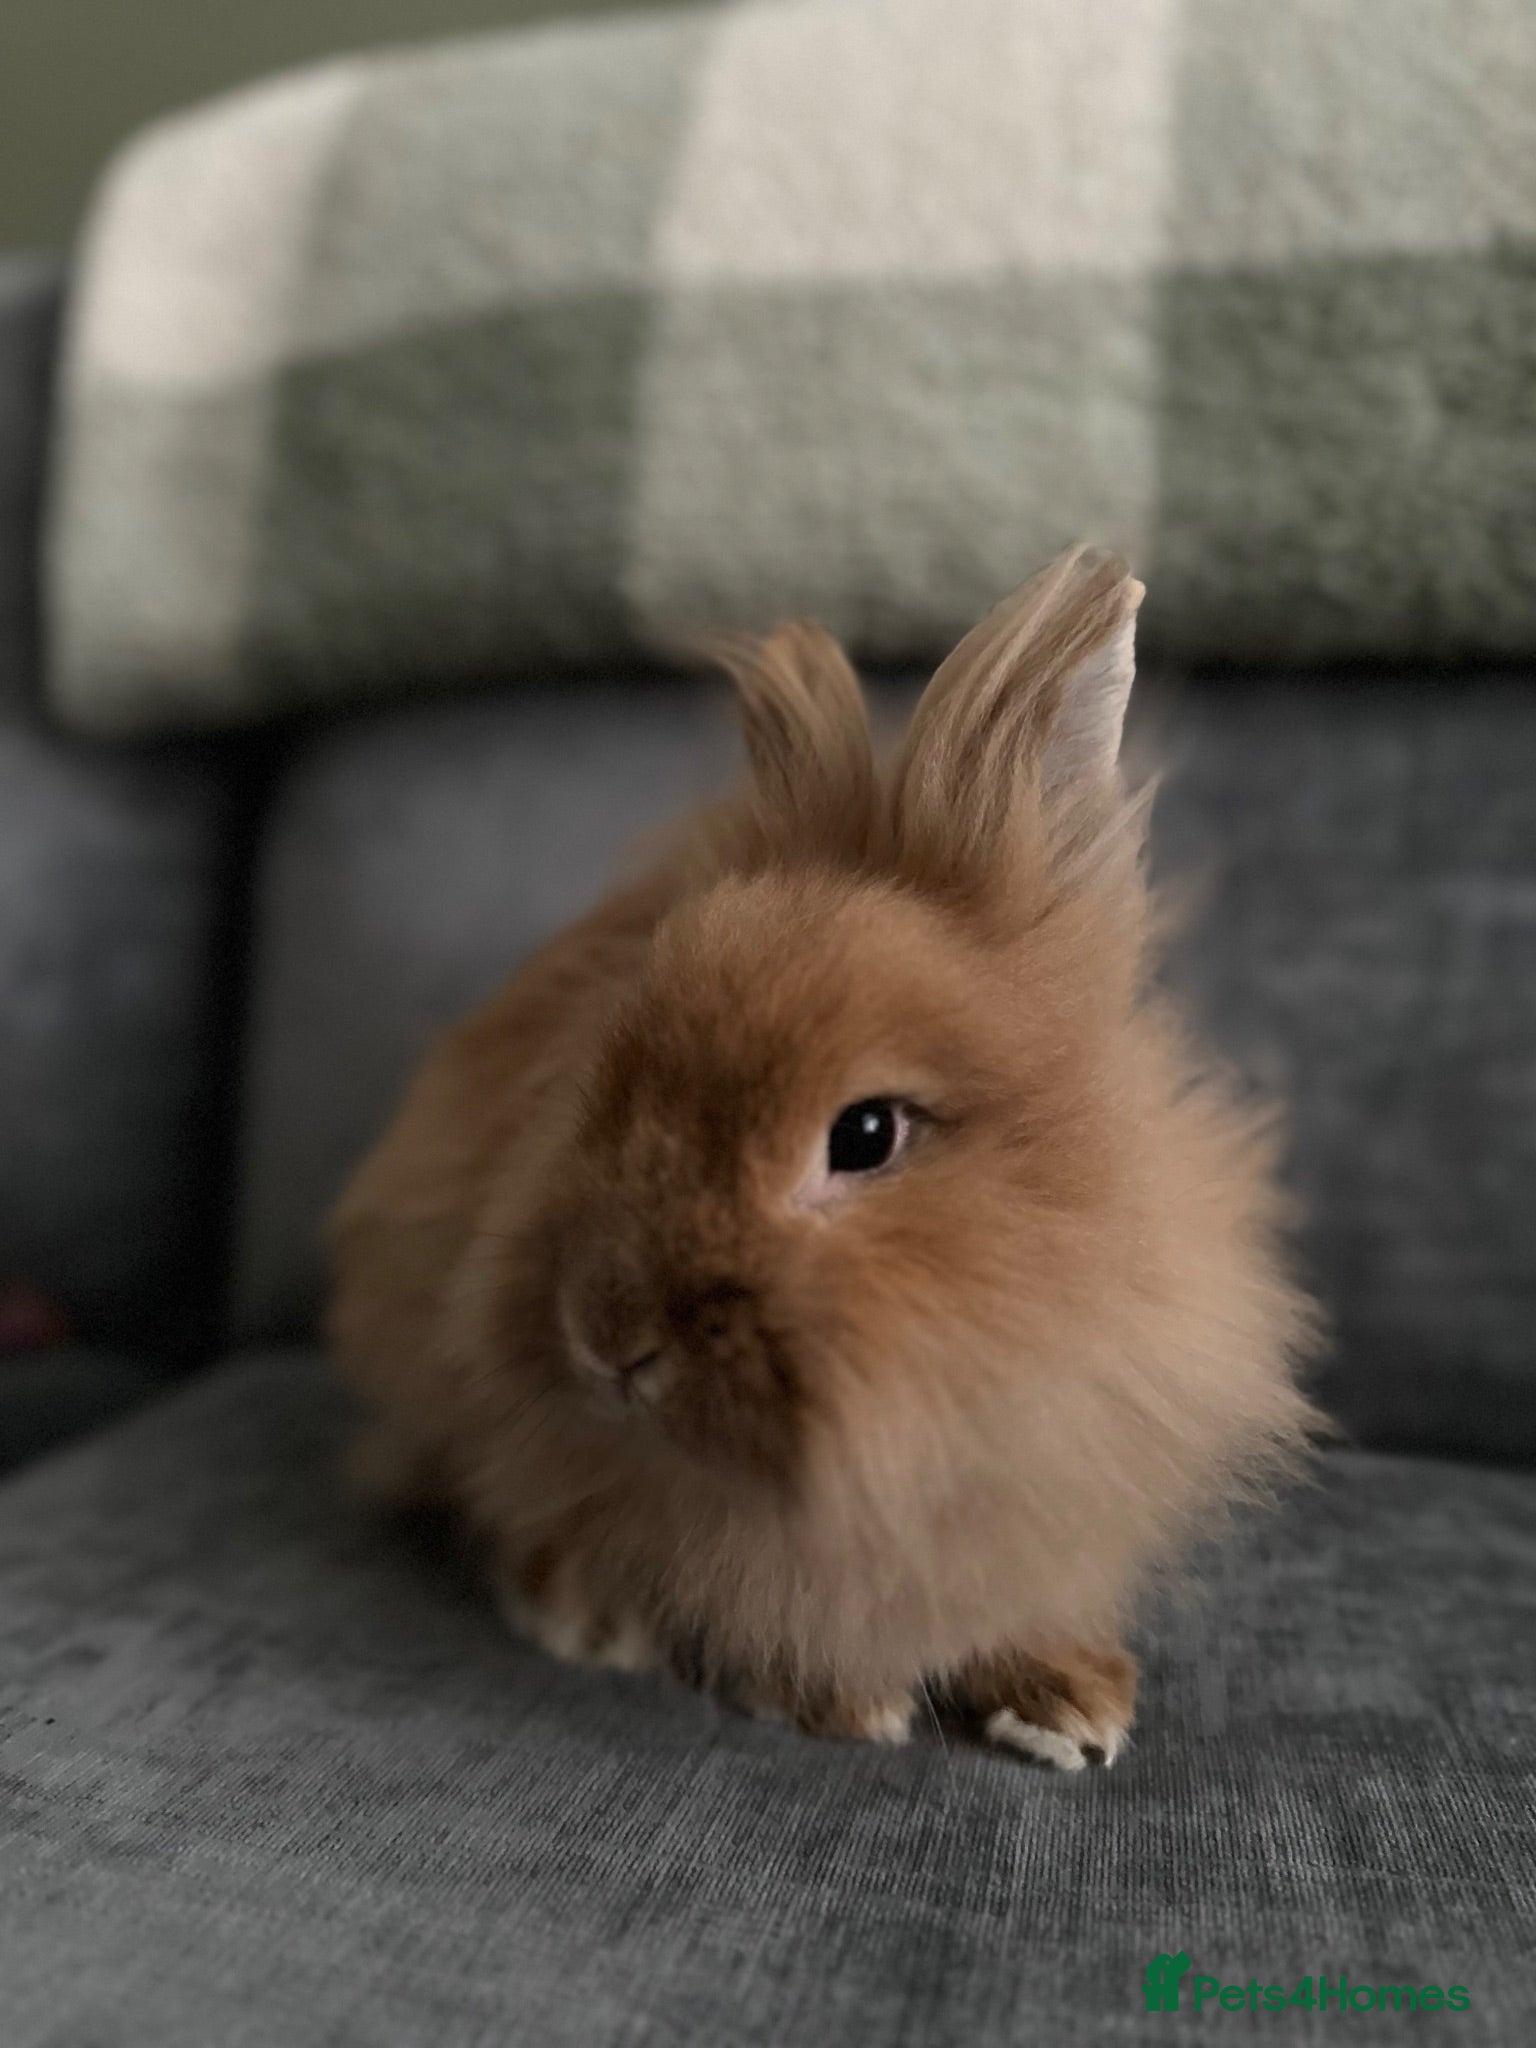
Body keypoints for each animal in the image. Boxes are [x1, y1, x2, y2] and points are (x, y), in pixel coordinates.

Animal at [327, 544, 1321, 1770]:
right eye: (610, 1071)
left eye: (865, 1135)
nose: (605, 1333)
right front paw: (844, 1701)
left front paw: (1072, 1704)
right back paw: (585, 1615)